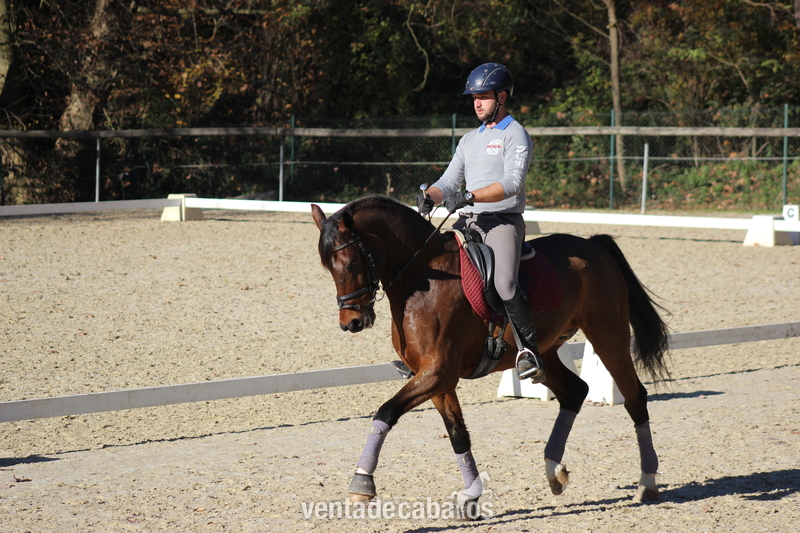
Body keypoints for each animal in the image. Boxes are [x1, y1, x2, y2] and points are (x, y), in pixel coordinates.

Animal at [311, 195, 670, 518]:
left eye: (351, 263)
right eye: (327, 267)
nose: (351, 322)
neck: (421, 280)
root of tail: (594, 246)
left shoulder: (438, 372)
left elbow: (385, 411)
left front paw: (362, 483)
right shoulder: (437, 380)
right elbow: (458, 435)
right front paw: (471, 496)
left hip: (608, 337)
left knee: (634, 397)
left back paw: (647, 482)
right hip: (546, 352)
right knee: (574, 392)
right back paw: (554, 472)